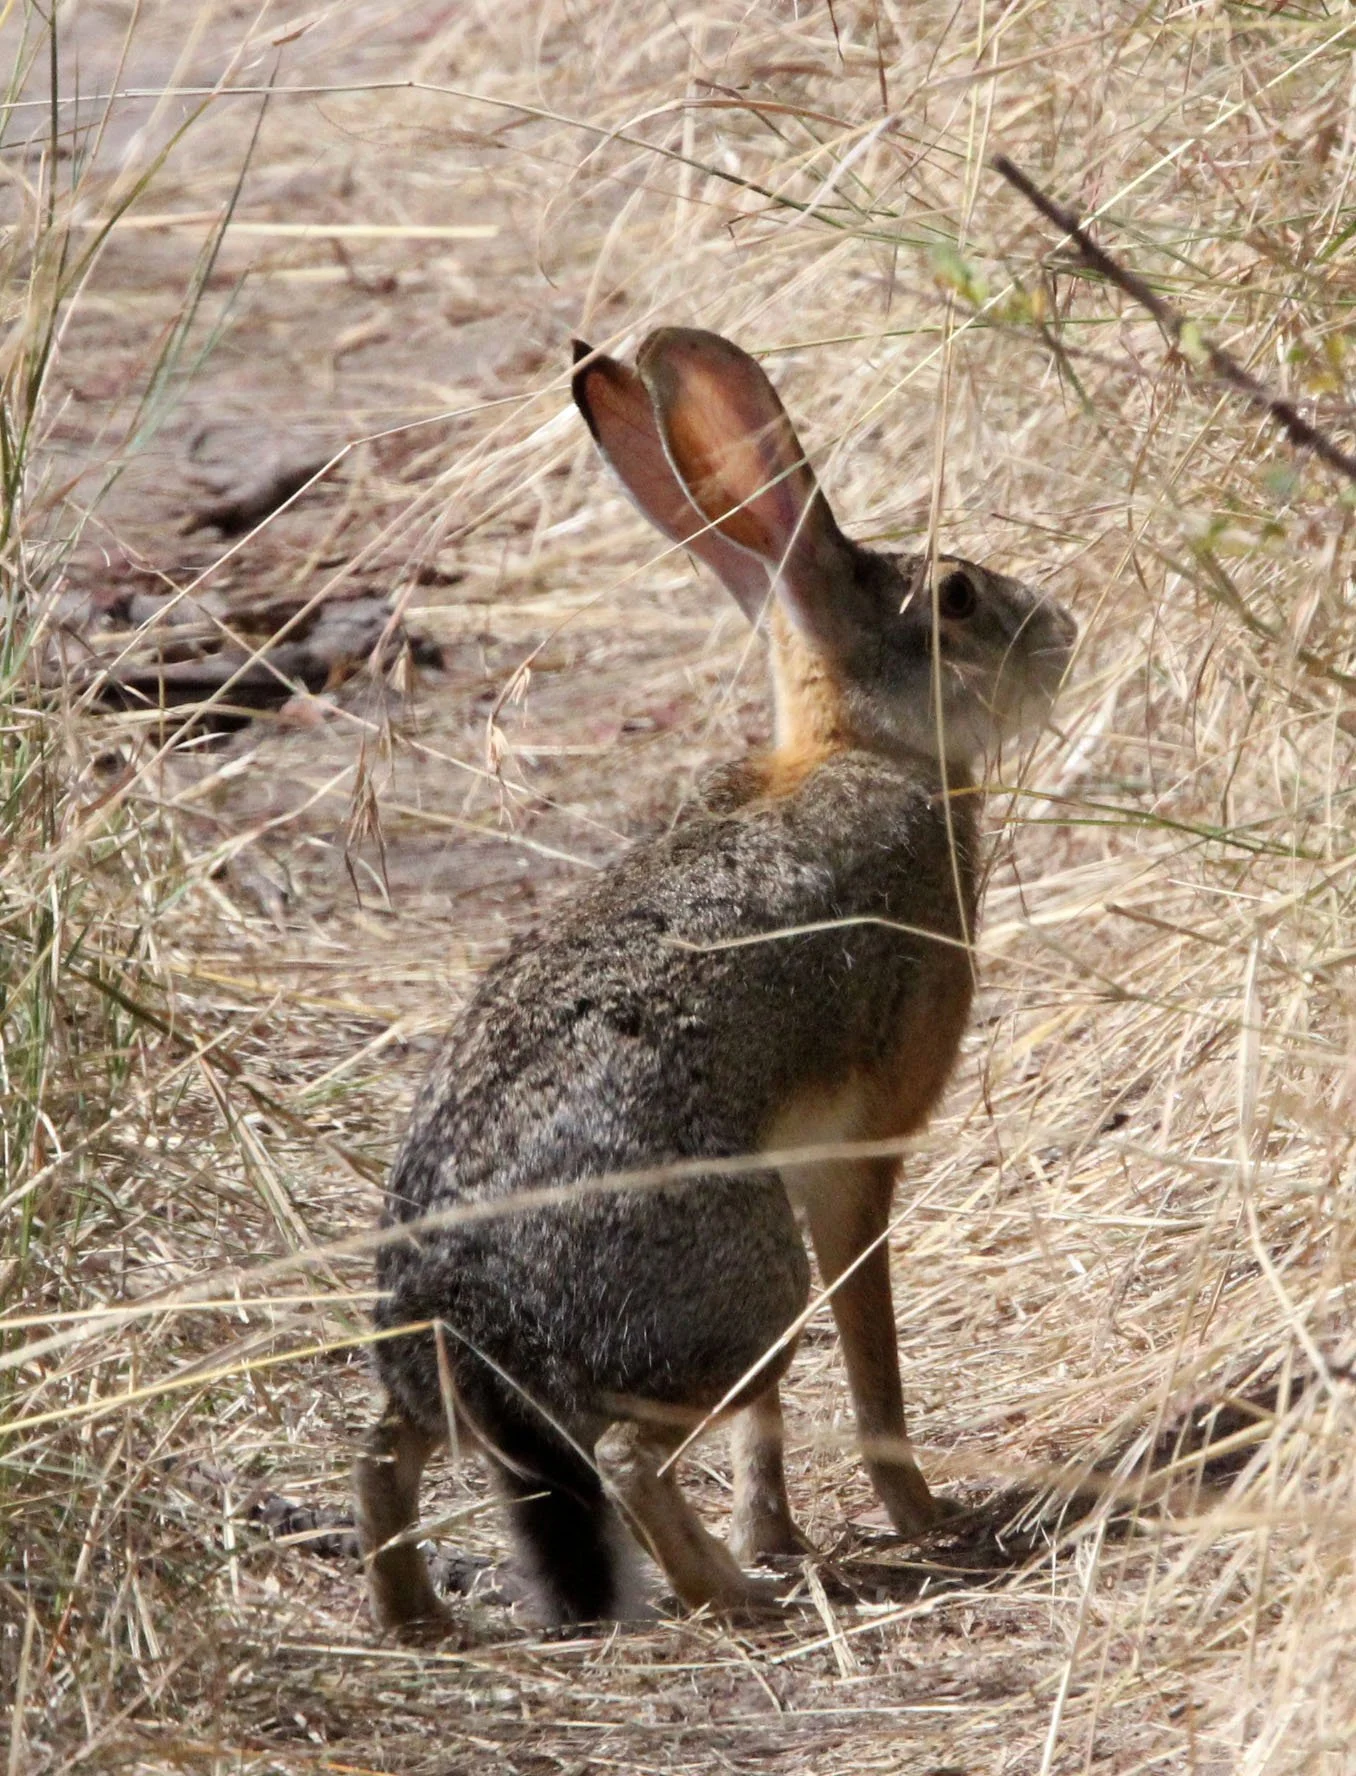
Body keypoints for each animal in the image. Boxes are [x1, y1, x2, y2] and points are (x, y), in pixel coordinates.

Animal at [354, 327, 1076, 1631]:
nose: (1063, 628)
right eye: (956, 598)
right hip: (745, 1288)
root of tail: (471, 1321)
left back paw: (418, 1619)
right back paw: (737, 1599)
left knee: (386, 1455)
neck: (863, 751)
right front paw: (920, 1516)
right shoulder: (856, 1152)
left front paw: (777, 1528)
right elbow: (870, 1350)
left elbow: (768, 1428)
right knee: (633, 1462)